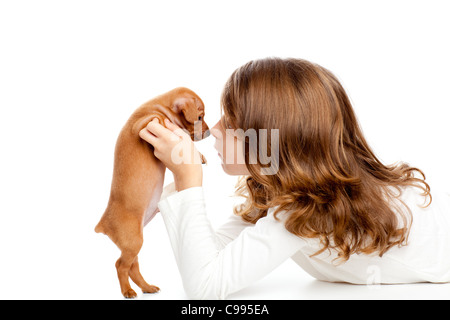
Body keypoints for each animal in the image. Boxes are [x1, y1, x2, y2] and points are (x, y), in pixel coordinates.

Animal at [95, 87, 209, 298]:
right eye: (199, 117)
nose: (209, 131)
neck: (160, 107)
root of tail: (103, 224)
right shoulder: (144, 123)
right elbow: (161, 122)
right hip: (133, 241)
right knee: (121, 266)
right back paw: (128, 291)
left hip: (133, 244)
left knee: (131, 266)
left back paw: (147, 288)